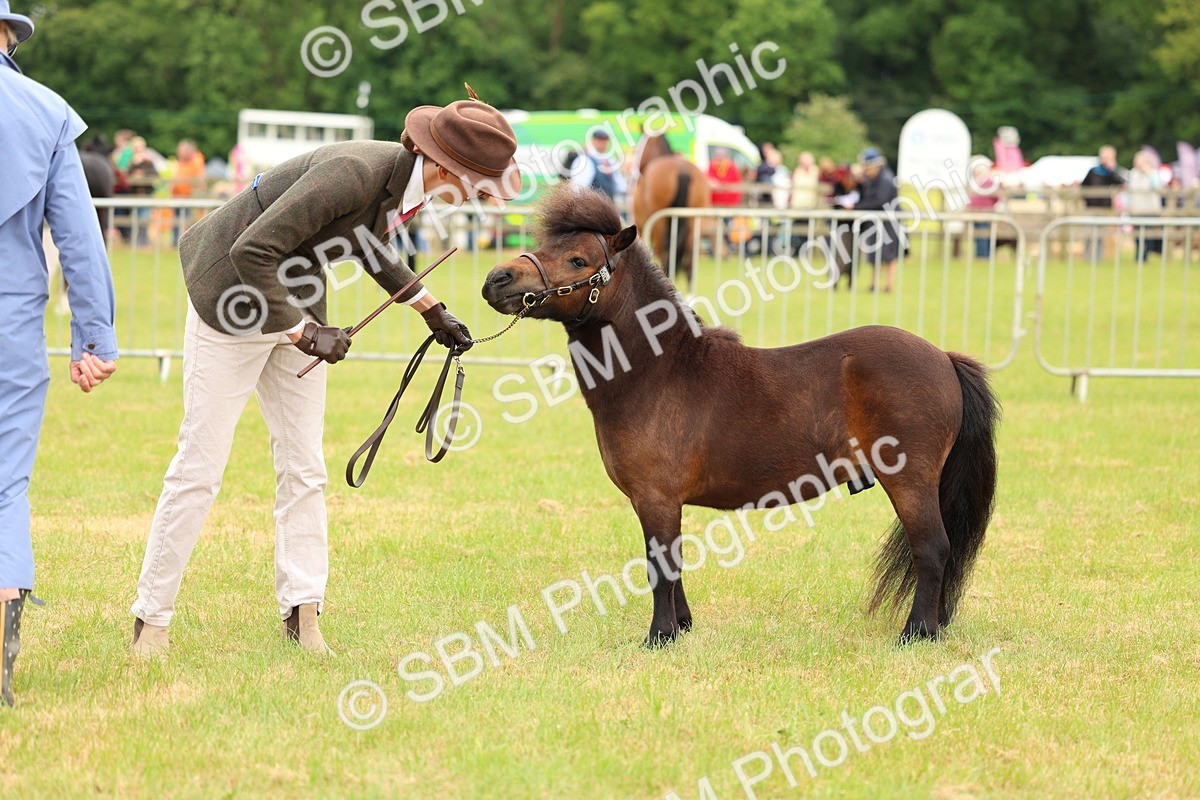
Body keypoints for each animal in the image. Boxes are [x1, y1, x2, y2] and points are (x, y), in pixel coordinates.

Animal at [482, 185, 1000, 648]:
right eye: (544, 245)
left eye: (578, 260)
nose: (497, 280)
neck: (658, 371)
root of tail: (943, 358)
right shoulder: (665, 503)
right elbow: (675, 564)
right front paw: (683, 626)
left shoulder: (655, 498)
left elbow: (660, 567)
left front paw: (659, 636)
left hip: (909, 479)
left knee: (932, 549)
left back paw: (916, 634)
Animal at [631, 134, 711, 288]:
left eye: (642, 144)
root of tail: (682, 171)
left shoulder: (642, 227)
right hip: (694, 223)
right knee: (689, 263)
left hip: (659, 225)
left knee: (665, 258)